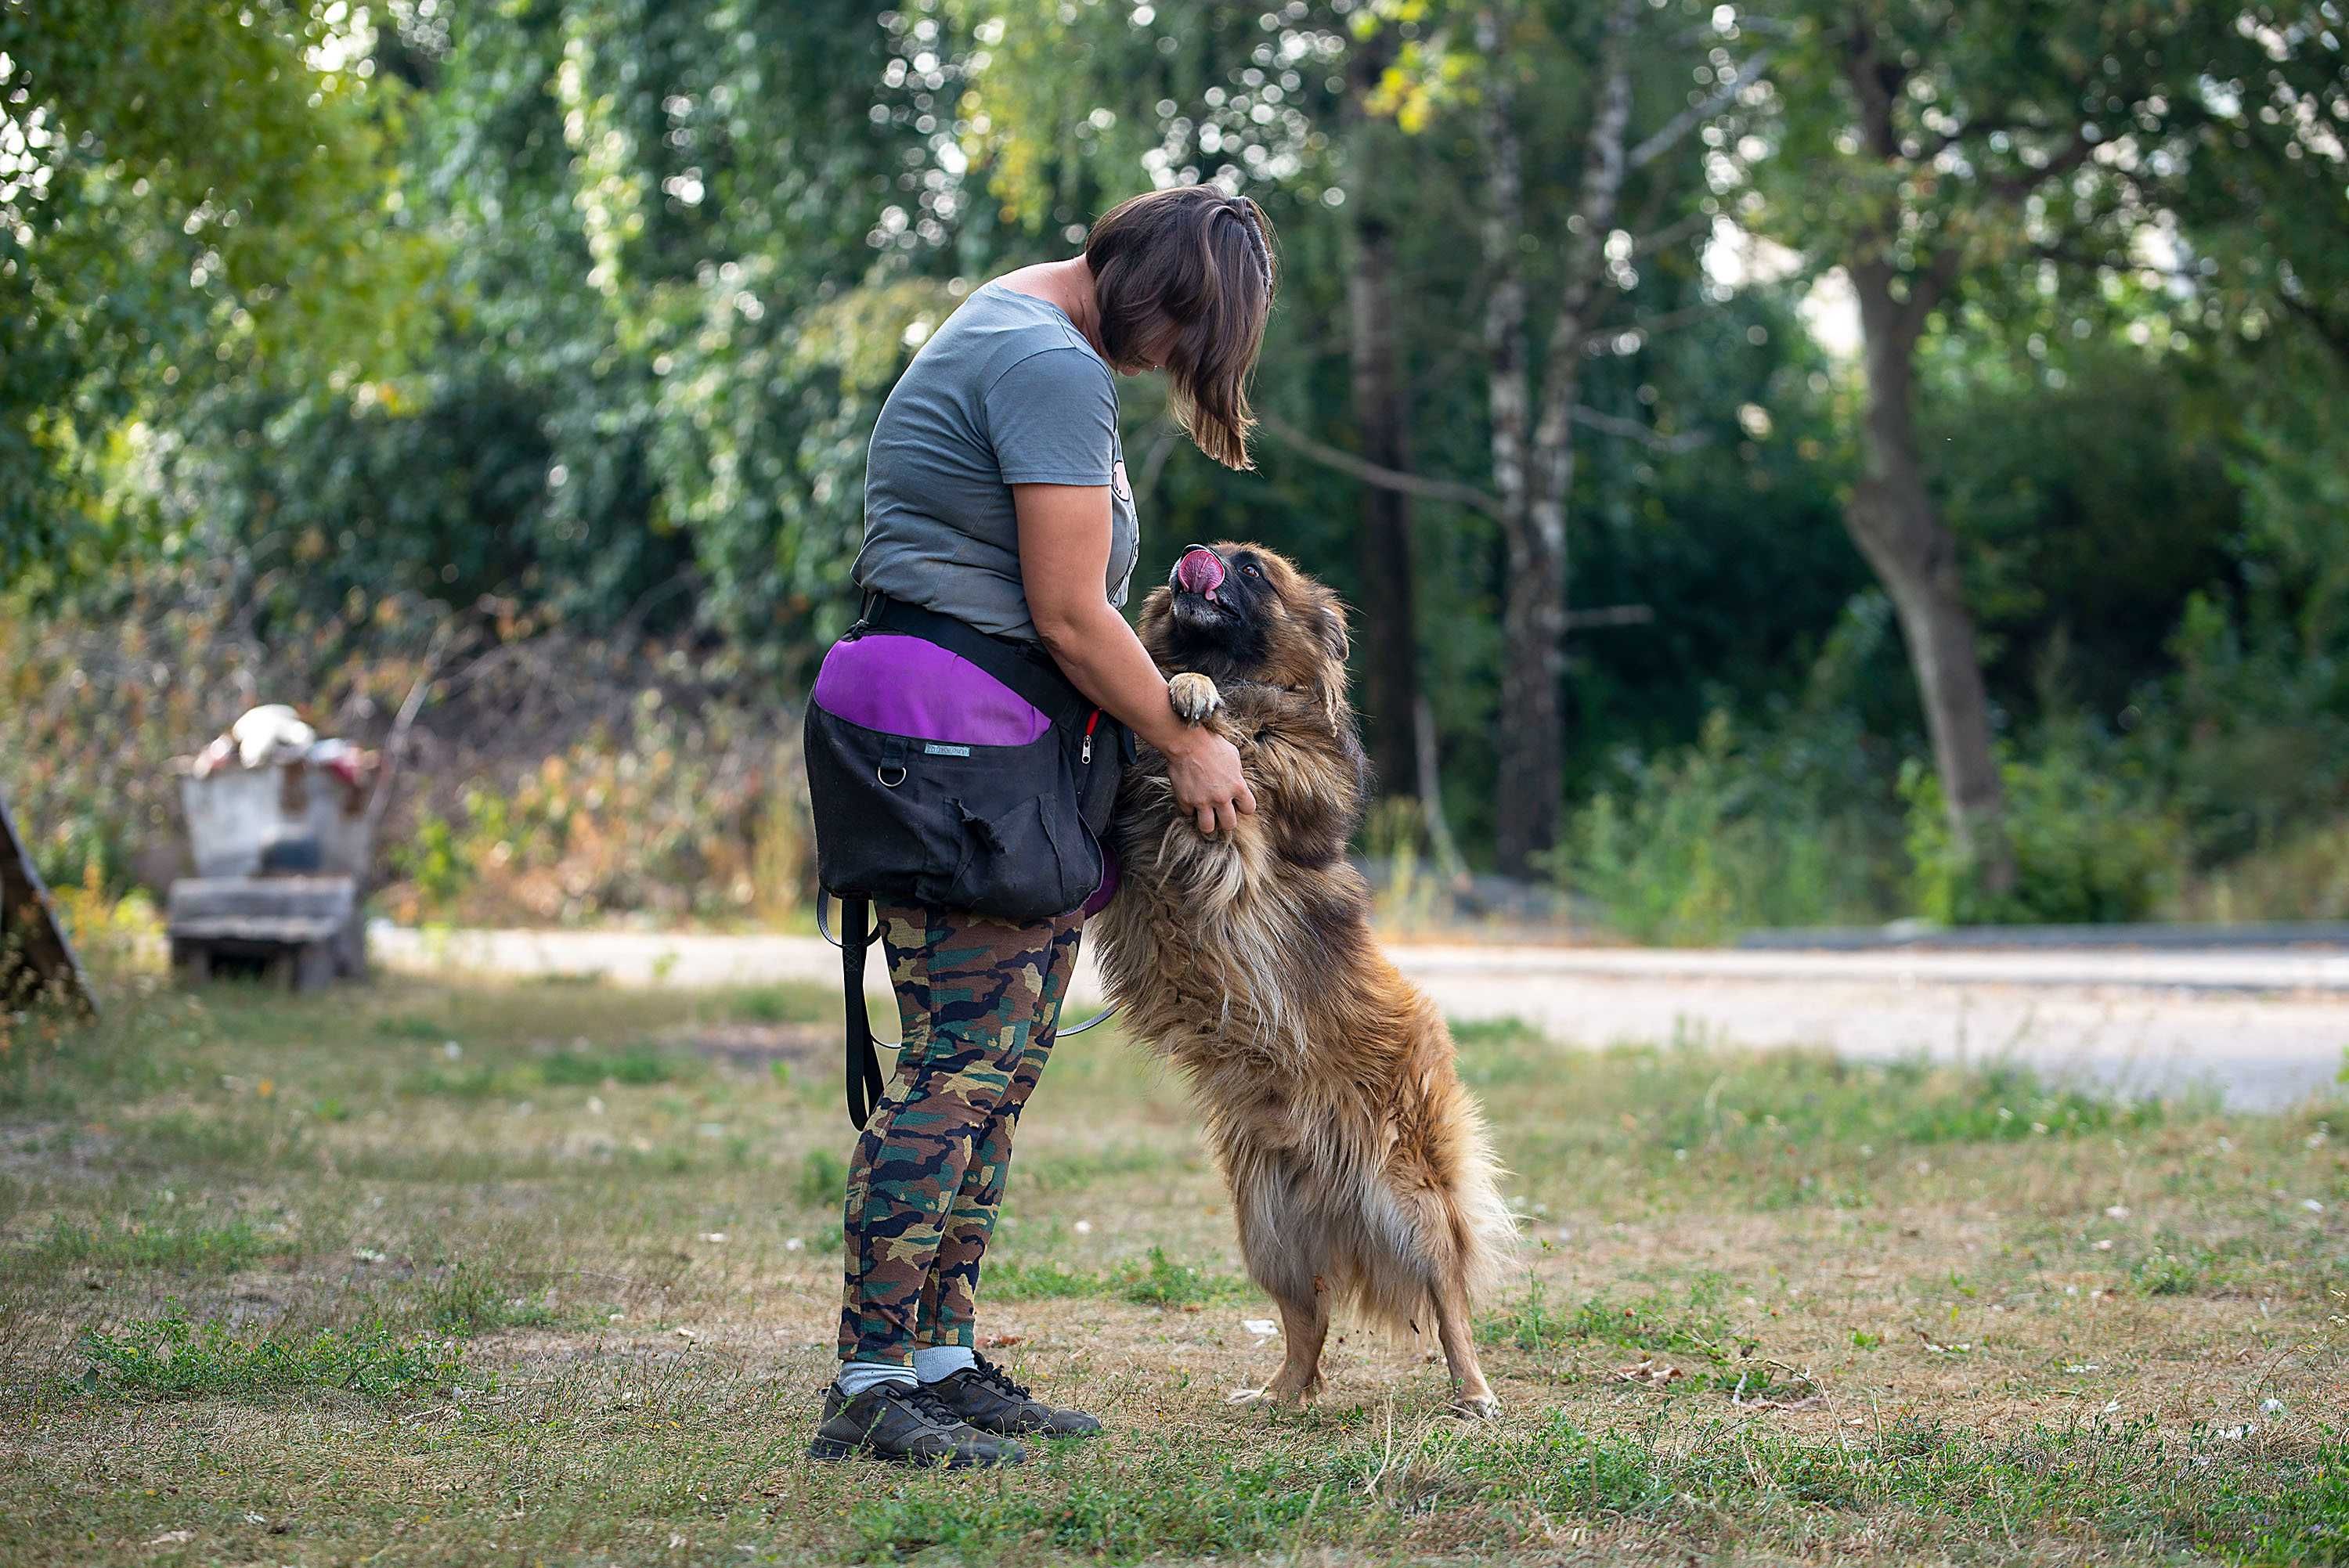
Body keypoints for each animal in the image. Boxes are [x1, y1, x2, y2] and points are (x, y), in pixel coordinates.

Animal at [1090, 542, 1513, 1418]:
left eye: (1252, 568)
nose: (1193, 556)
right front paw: (1174, 692)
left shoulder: (1246, 807)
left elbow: (1236, 742)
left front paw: (1194, 695)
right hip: (1267, 1227)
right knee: (1306, 1321)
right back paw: (1279, 1394)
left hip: (1412, 1197)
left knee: (1448, 1296)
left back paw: (1473, 1390)